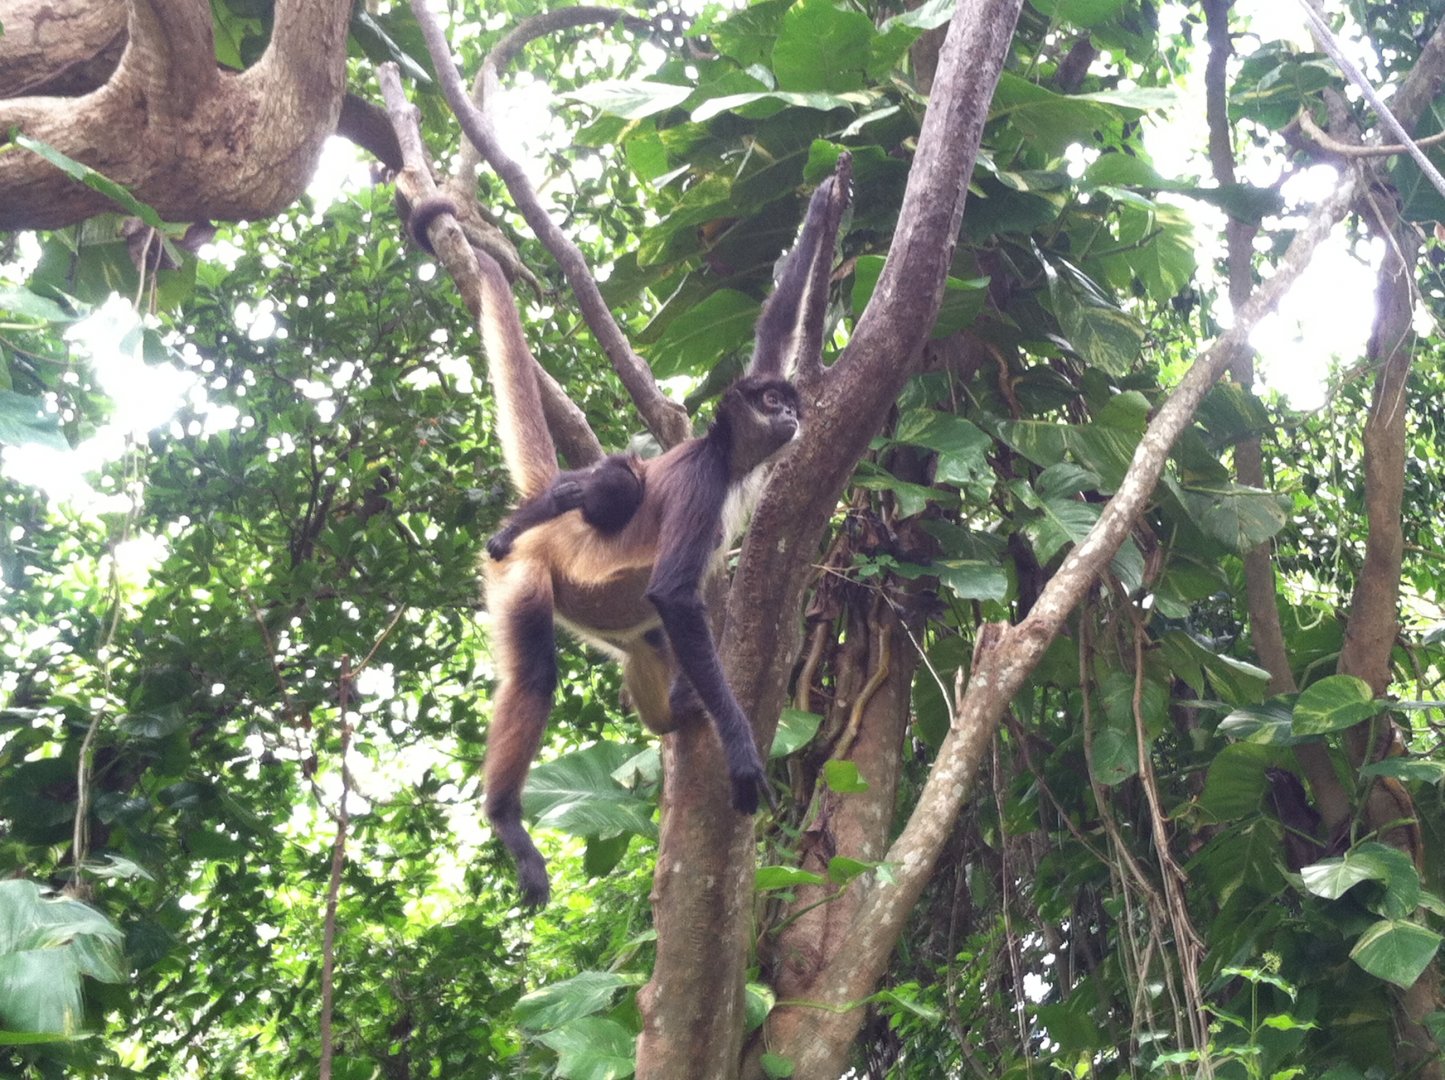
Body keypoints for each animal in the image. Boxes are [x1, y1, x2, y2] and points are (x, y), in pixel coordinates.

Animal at [411, 155, 851, 908]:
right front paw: (741, 751)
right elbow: (674, 592)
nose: (792, 417)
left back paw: (670, 712)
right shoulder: (702, 477)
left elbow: (775, 325)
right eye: (772, 403)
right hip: (522, 573)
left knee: (643, 634)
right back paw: (505, 816)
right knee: (537, 672)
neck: (731, 461)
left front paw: (821, 214)